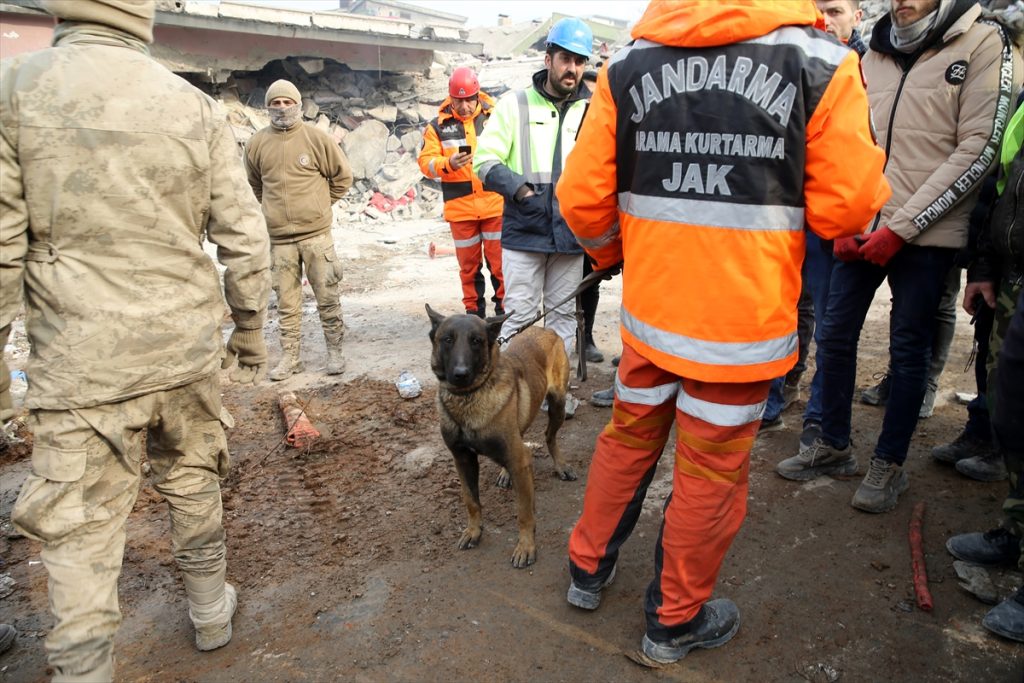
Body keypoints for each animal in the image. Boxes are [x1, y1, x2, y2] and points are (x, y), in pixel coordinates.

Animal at [423, 307, 577, 569]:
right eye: (447, 339)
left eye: (476, 341)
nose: (460, 374)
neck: (468, 399)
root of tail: (546, 329)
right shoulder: (463, 459)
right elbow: (471, 500)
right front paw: (473, 531)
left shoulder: (519, 459)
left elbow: (524, 513)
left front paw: (526, 547)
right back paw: (506, 474)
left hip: (558, 405)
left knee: (550, 436)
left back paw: (561, 465)